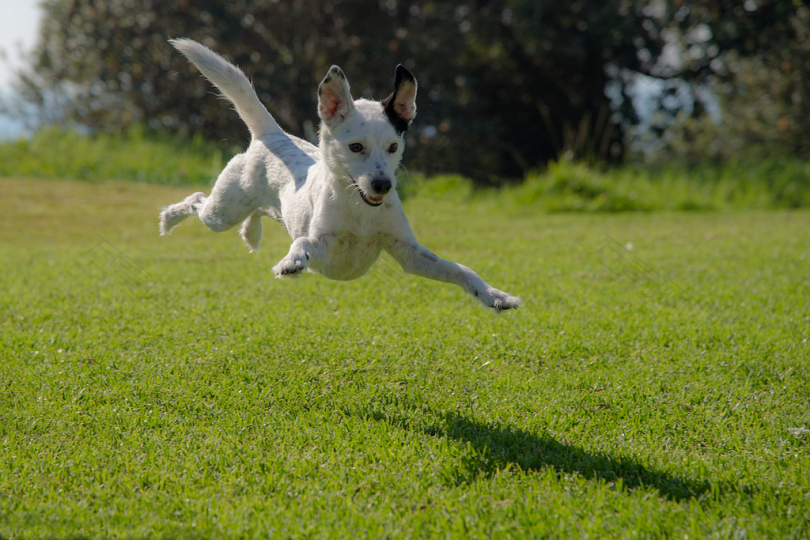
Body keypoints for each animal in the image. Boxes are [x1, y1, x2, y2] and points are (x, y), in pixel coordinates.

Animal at [161, 39, 520, 312]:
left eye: (393, 146)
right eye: (356, 146)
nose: (383, 185)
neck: (360, 211)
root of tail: (272, 134)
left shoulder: (409, 253)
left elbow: (460, 269)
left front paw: (494, 295)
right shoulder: (323, 246)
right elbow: (303, 243)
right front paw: (291, 262)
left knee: (256, 213)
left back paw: (251, 232)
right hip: (222, 211)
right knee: (197, 201)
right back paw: (169, 219)